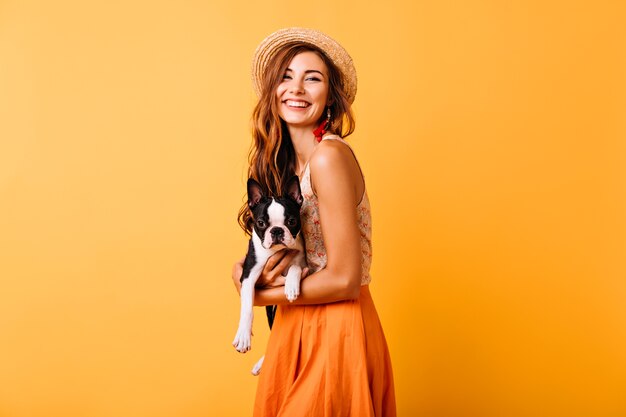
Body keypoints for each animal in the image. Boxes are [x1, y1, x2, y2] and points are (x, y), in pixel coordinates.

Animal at [232, 175, 304, 374]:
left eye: (292, 221)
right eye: (261, 223)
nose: (277, 230)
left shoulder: (303, 263)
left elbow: (295, 268)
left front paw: (291, 286)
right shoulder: (248, 275)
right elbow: (247, 308)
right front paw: (243, 336)